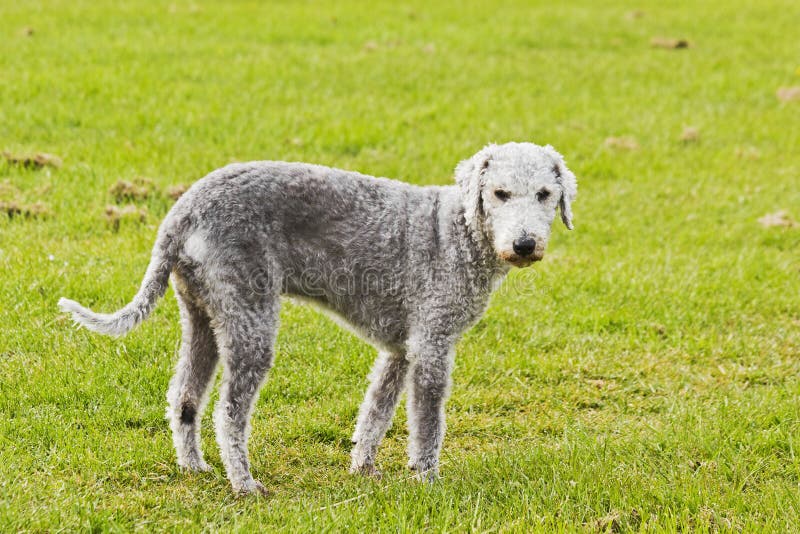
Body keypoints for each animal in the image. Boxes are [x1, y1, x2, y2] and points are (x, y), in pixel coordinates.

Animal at [59, 143, 580, 498]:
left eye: (545, 194)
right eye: (499, 193)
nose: (525, 244)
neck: (459, 231)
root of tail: (181, 212)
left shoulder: (401, 348)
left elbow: (376, 413)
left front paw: (364, 469)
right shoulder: (432, 343)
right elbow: (427, 422)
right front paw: (427, 479)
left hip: (203, 313)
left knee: (184, 399)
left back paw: (195, 469)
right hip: (250, 315)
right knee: (229, 414)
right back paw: (244, 485)